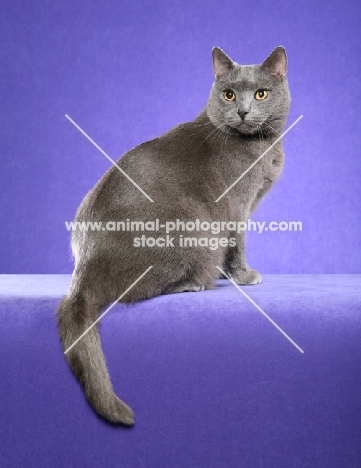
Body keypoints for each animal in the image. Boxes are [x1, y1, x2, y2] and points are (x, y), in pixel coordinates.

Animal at [57, 45, 292, 426]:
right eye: (229, 94)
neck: (261, 147)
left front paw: (230, 274)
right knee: (134, 292)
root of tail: (84, 268)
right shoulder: (237, 205)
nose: (242, 111)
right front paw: (244, 275)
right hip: (193, 227)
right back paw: (194, 283)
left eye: (261, 94)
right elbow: (238, 242)